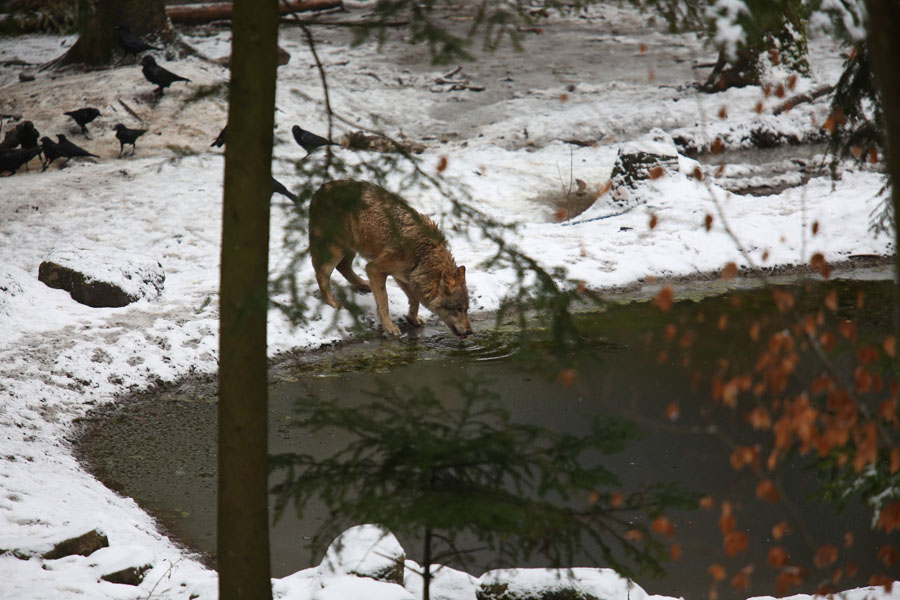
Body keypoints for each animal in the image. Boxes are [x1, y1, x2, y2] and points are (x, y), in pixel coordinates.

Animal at [309, 179, 473, 339]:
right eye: (458, 309)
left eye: (466, 309)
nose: (470, 332)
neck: (423, 255)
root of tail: (320, 190)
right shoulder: (375, 268)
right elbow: (384, 303)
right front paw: (389, 327)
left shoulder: (403, 276)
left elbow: (415, 300)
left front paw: (412, 319)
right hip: (338, 248)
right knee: (322, 273)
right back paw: (333, 303)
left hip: (353, 247)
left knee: (343, 267)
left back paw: (364, 284)